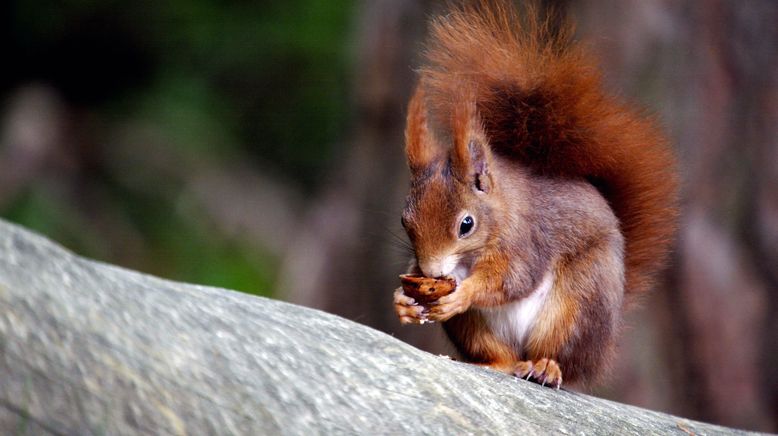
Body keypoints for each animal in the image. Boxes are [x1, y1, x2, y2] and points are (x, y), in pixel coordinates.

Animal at [392, 1, 676, 390]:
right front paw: (402, 301)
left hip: (577, 305)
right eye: (405, 221)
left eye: (467, 224)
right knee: (503, 357)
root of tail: (603, 346)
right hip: (475, 328)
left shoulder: (525, 243)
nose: (431, 271)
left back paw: (546, 367)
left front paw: (463, 293)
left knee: (561, 357)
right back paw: (495, 364)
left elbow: (513, 280)